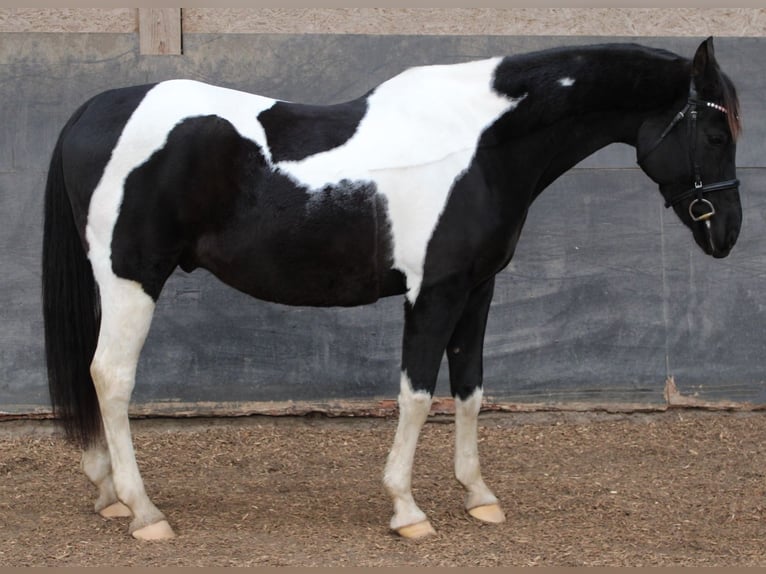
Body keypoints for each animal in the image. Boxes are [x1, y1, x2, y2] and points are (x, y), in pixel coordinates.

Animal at [42, 38, 744, 544]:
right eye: (715, 134)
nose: (728, 234)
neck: (478, 146)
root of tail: (90, 112)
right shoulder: (432, 294)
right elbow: (416, 395)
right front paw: (408, 510)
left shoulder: (477, 290)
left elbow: (470, 391)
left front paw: (480, 497)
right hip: (134, 278)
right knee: (112, 376)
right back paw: (145, 513)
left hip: (111, 283)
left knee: (94, 374)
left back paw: (107, 495)